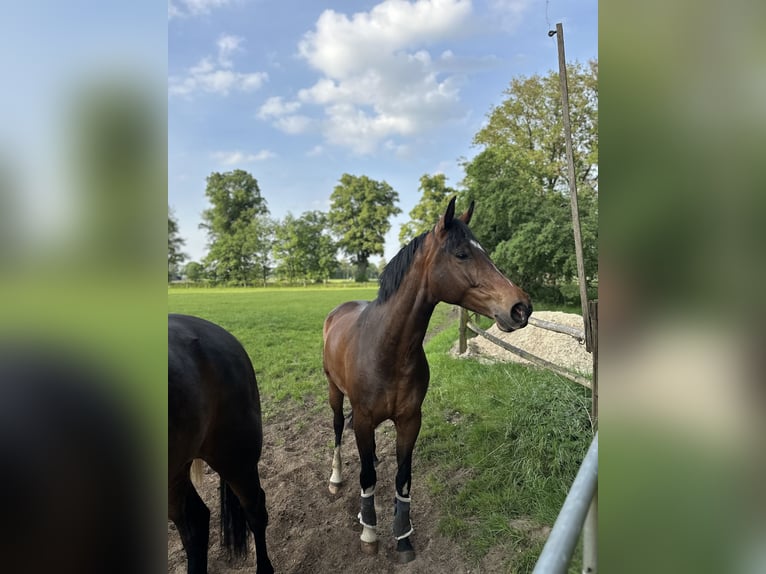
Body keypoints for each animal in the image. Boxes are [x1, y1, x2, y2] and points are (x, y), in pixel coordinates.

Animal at [324, 197, 536, 564]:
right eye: (462, 254)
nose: (520, 308)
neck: (387, 349)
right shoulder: (363, 418)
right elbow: (366, 477)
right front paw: (369, 532)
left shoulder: (411, 420)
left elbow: (402, 478)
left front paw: (403, 538)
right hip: (334, 392)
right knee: (338, 429)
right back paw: (336, 480)